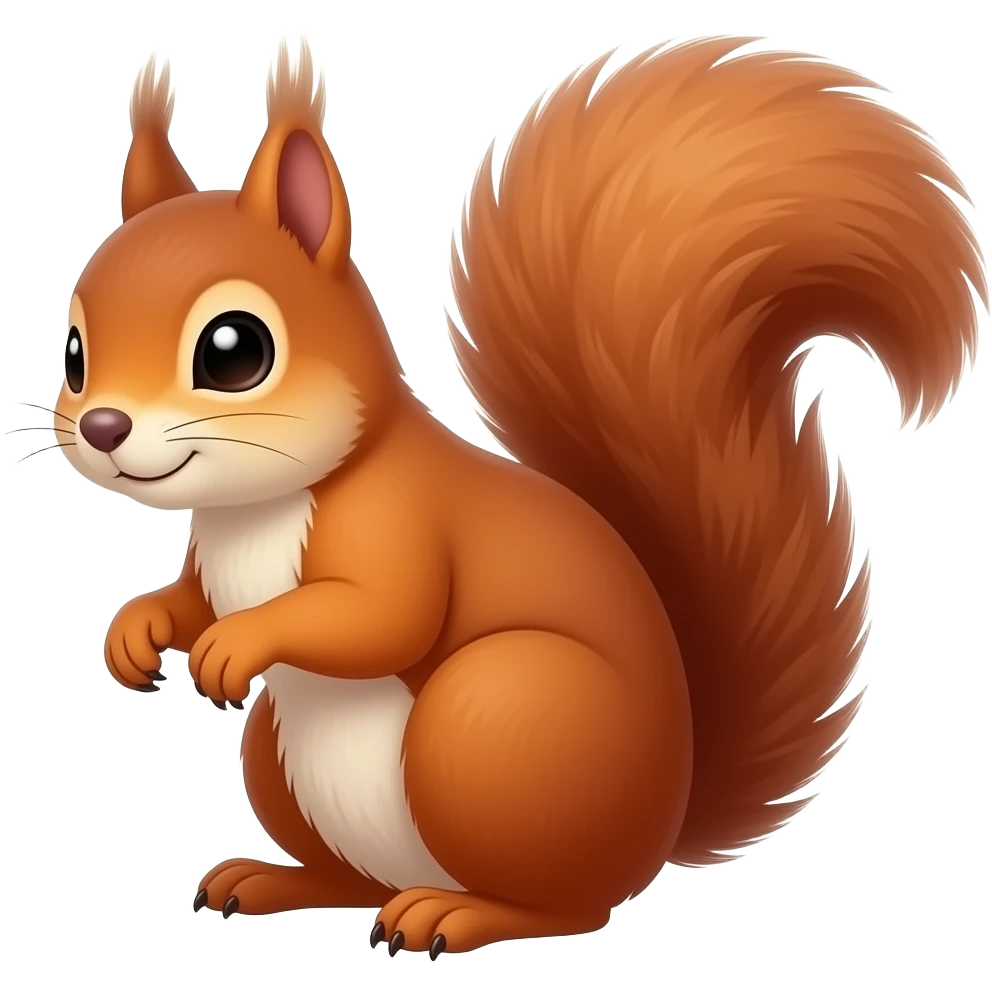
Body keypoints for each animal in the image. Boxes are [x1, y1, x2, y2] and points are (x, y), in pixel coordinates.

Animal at [57, 33, 985, 956]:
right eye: (73, 353)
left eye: (234, 350)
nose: (102, 426)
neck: (257, 509)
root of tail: (658, 827)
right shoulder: (211, 555)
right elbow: (190, 597)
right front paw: (138, 630)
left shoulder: (399, 520)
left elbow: (382, 614)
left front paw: (238, 642)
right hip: (283, 757)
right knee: (357, 881)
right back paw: (278, 881)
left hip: (495, 718)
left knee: (567, 906)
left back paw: (456, 915)